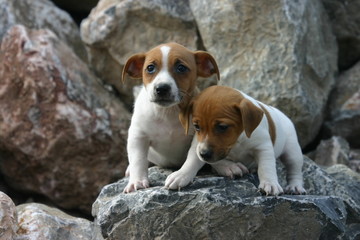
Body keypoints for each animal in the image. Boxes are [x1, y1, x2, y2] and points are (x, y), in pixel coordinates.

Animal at [122, 42, 221, 192]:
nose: (162, 88)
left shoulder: (200, 136)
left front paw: (181, 176)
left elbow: (194, 158)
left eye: (181, 68)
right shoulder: (138, 136)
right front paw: (137, 181)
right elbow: (138, 160)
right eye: (150, 68)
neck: (168, 112)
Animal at [169, 85, 306, 196]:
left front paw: (270, 183)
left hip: (293, 151)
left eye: (222, 127)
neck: (237, 141)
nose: (204, 154)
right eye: (197, 126)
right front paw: (181, 174)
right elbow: (192, 161)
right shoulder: (198, 145)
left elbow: (266, 167)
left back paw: (295, 186)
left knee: (295, 170)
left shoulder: (263, 147)